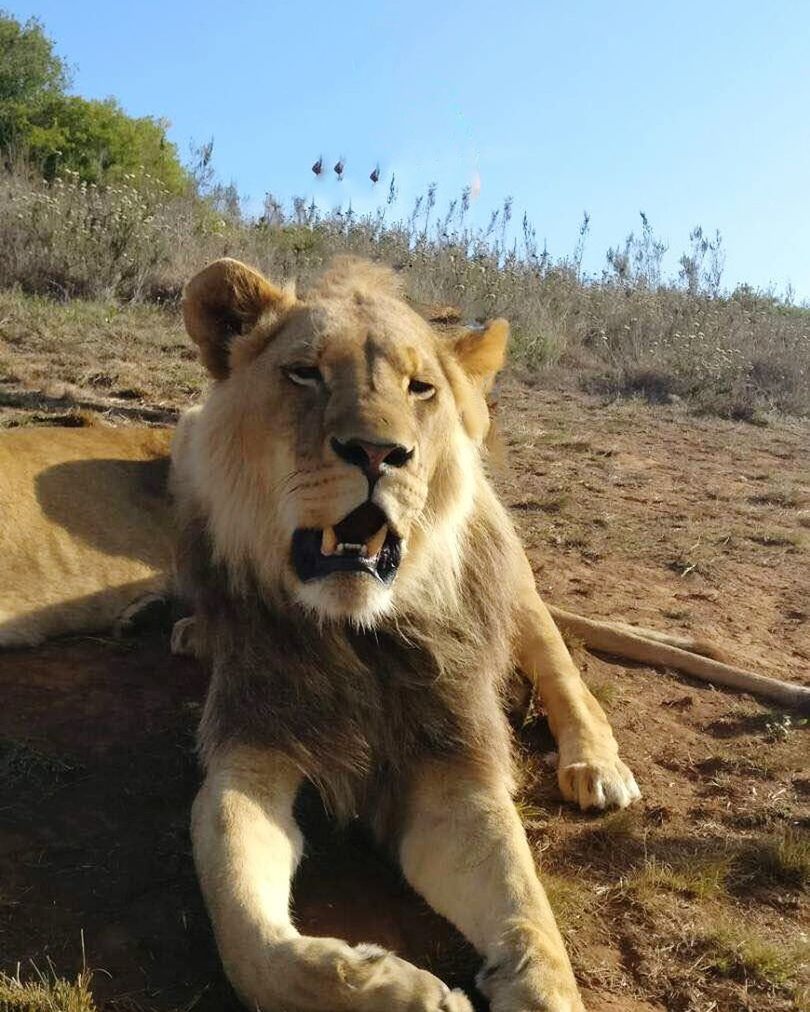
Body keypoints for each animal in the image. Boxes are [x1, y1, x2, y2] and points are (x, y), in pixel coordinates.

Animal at [172, 259, 643, 1011]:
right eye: (304, 373)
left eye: (421, 389)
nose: (377, 452)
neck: (356, 637)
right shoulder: (249, 751)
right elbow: (250, 939)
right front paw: (403, 991)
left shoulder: (456, 769)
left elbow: (532, 918)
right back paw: (195, 630)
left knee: (560, 667)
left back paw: (597, 767)